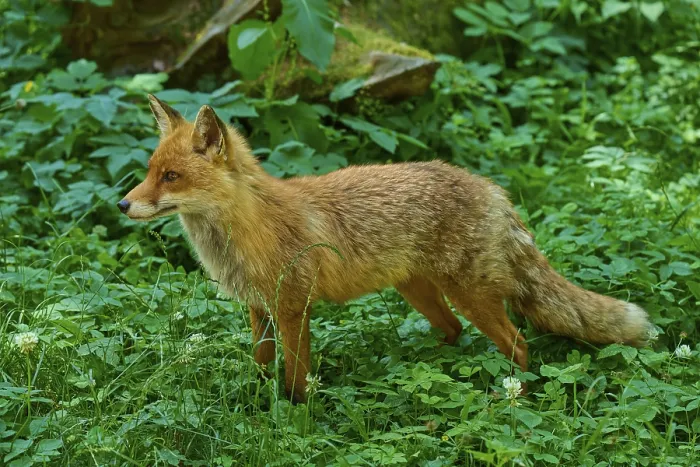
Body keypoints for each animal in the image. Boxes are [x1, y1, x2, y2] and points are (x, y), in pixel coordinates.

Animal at [118, 94, 652, 402]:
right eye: (149, 171)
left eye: (171, 177)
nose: (123, 204)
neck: (250, 229)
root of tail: (492, 190)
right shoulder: (258, 308)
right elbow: (262, 365)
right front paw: (257, 400)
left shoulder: (293, 309)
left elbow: (296, 380)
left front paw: (294, 418)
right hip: (418, 292)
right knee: (454, 332)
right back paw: (422, 369)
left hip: (472, 296)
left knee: (517, 346)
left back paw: (509, 400)